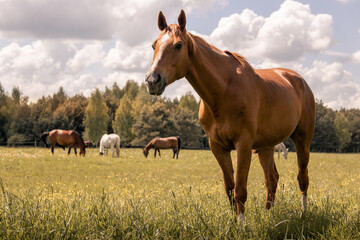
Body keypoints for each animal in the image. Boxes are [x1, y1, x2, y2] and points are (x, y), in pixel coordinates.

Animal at [146, 10, 316, 221]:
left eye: (178, 45)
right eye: (154, 45)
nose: (152, 80)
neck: (224, 91)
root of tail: (299, 80)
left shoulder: (243, 144)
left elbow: (240, 190)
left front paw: (241, 223)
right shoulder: (218, 147)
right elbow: (230, 189)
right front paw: (233, 222)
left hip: (302, 140)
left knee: (303, 178)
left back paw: (303, 213)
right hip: (266, 147)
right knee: (272, 179)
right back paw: (269, 215)